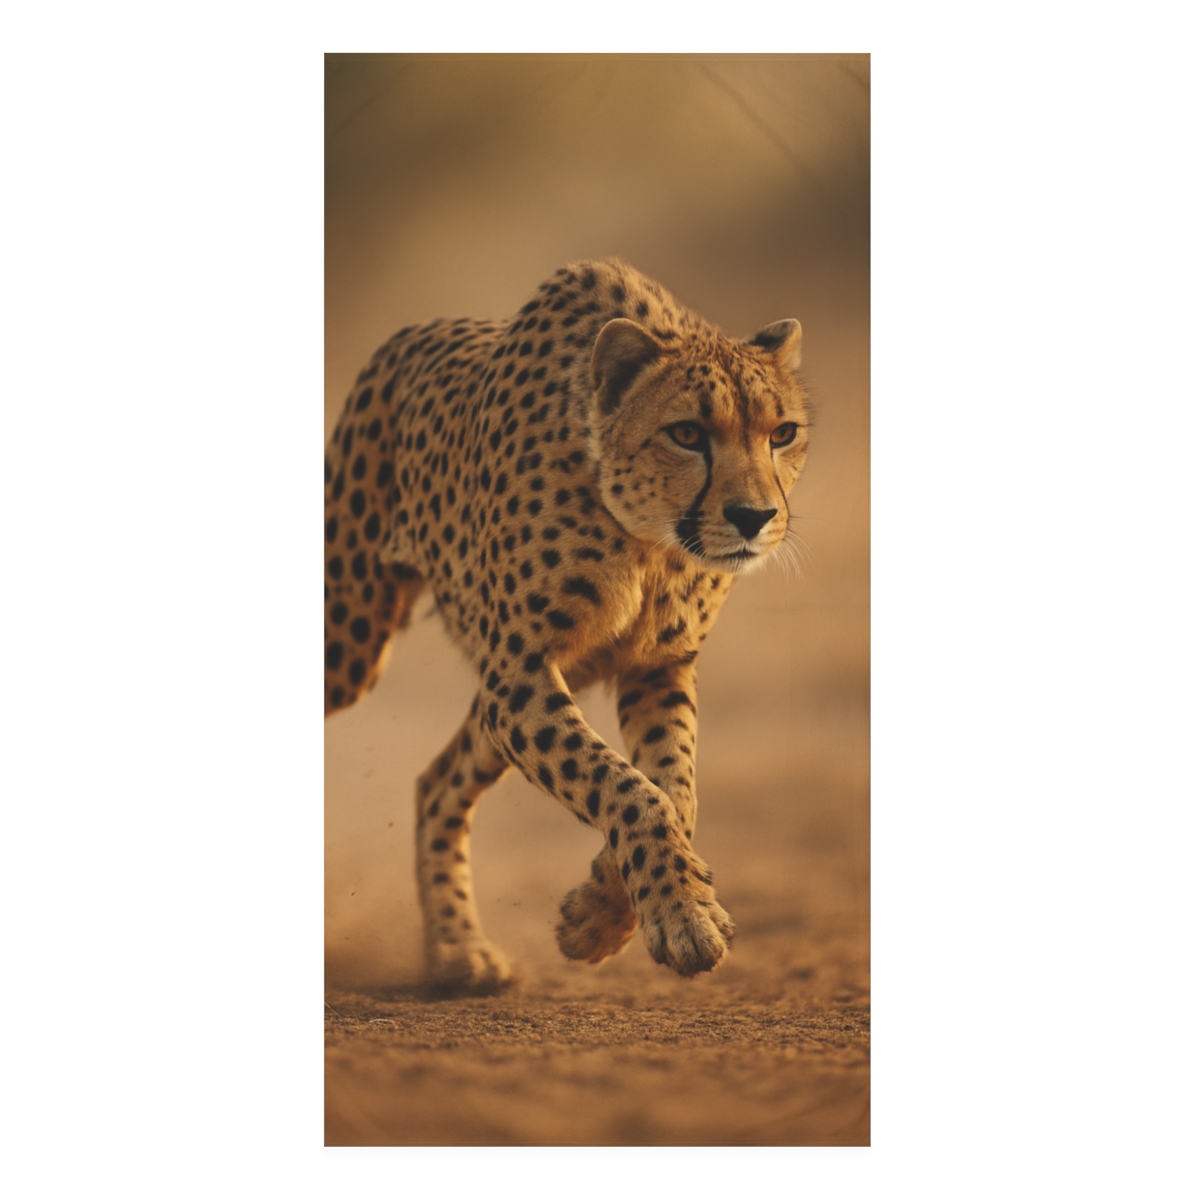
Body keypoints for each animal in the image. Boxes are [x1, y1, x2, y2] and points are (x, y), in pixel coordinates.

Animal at [324, 258, 809, 994]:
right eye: (688, 433)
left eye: (782, 433)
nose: (755, 518)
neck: (644, 536)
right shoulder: (521, 676)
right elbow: (631, 790)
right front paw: (678, 916)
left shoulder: (651, 667)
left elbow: (674, 789)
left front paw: (601, 916)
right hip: (350, 641)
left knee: (436, 781)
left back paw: (460, 954)